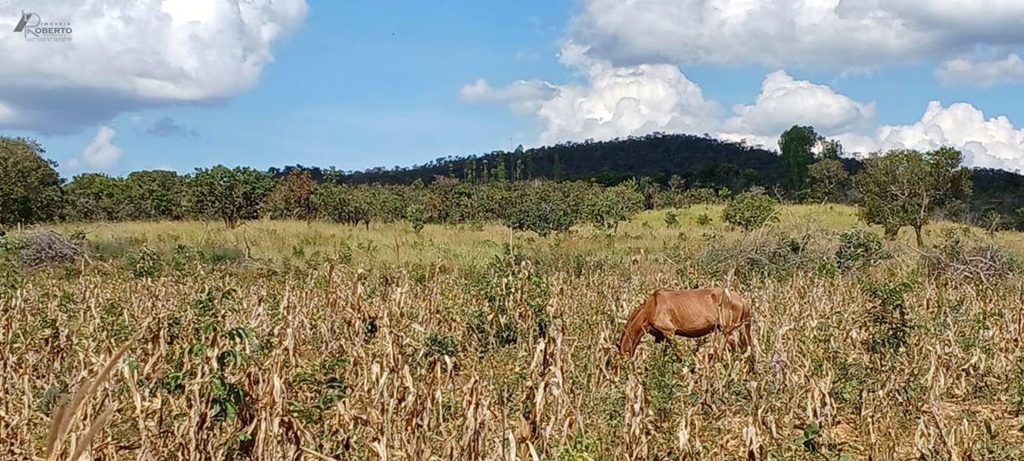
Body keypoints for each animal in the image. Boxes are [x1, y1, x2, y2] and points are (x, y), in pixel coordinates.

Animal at [614, 288, 753, 356]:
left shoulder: (669, 332)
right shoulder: (661, 337)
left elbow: (678, 354)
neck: (652, 307)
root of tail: (742, 300)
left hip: (727, 331)